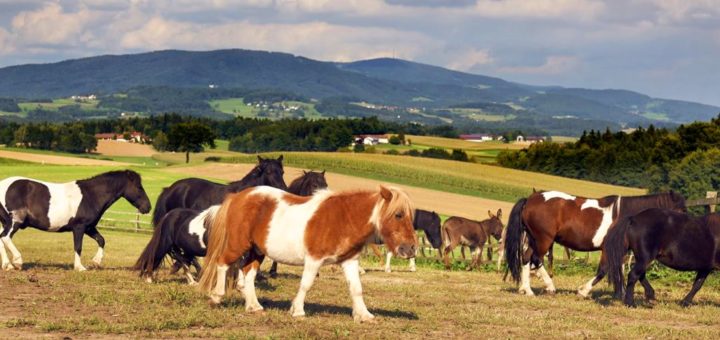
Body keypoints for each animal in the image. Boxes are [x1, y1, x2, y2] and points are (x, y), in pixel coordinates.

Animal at [0, 170, 152, 270]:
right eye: (139, 187)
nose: (148, 207)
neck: (91, 195)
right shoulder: (79, 227)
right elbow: (78, 247)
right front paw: (80, 267)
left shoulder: (89, 228)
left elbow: (101, 240)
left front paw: (96, 262)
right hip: (15, 221)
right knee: (5, 237)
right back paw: (17, 261)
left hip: (5, 222)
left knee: (1, 239)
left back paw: (7, 265)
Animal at [200, 185, 420, 322]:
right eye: (398, 214)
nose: (410, 249)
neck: (344, 218)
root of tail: (237, 197)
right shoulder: (314, 259)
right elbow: (306, 284)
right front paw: (297, 310)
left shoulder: (349, 261)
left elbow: (356, 288)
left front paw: (364, 315)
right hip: (238, 245)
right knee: (222, 263)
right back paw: (217, 297)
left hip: (257, 251)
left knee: (249, 275)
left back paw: (254, 306)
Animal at [504, 191, 684, 298]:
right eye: (681, 211)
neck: (625, 216)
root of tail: (530, 200)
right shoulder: (608, 250)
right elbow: (604, 270)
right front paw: (583, 291)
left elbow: (621, 270)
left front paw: (622, 293)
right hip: (544, 240)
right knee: (535, 259)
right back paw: (546, 287)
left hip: (534, 239)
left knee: (526, 258)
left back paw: (525, 289)